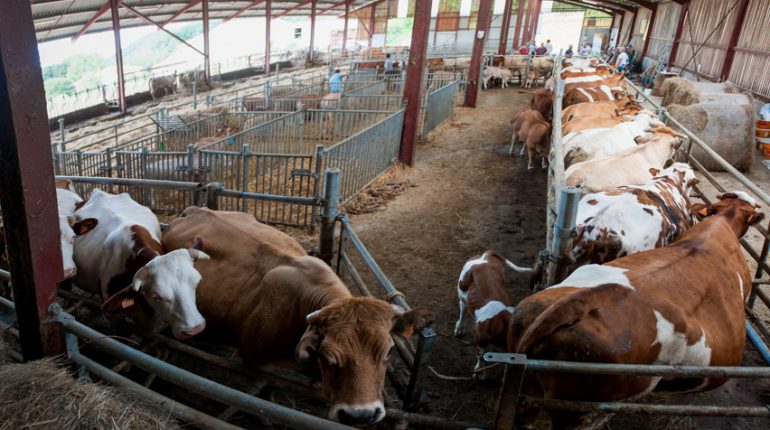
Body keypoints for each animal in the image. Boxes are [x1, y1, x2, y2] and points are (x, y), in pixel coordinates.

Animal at [161, 207, 432, 424]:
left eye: (389, 351)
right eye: (327, 355)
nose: (360, 415)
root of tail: (195, 209)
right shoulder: (257, 363)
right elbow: (264, 395)